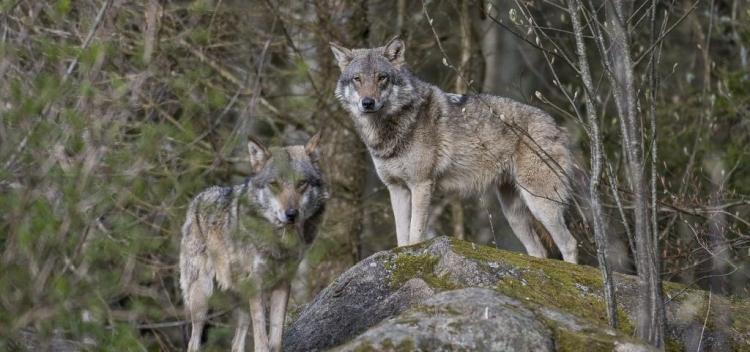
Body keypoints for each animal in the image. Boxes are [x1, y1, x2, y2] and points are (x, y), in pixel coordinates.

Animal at [181, 133, 328, 350]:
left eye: (301, 183)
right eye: (274, 184)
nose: (291, 214)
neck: (280, 243)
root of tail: (199, 197)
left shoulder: (283, 283)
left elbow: (275, 339)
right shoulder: (256, 285)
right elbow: (261, 341)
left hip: (241, 301)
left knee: (236, 344)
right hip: (202, 295)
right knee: (193, 342)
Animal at [330, 37, 580, 264]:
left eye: (381, 77)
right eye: (357, 79)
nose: (367, 102)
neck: (389, 130)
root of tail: (557, 126)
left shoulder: (421, 185)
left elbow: (415, 234)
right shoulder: (397, 188)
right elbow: (402, 236)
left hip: (540, 204)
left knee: (569, 243)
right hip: (514, 213)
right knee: (539, 252)